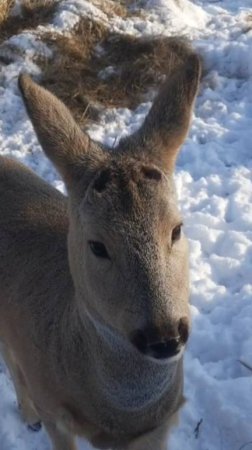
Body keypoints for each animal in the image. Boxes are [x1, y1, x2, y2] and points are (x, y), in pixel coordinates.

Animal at [0, 50, 201, 450]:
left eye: (177, 228)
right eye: (96, 245)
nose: (164, 337)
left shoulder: (159, 427)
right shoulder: (54, 409)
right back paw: (27, 416)